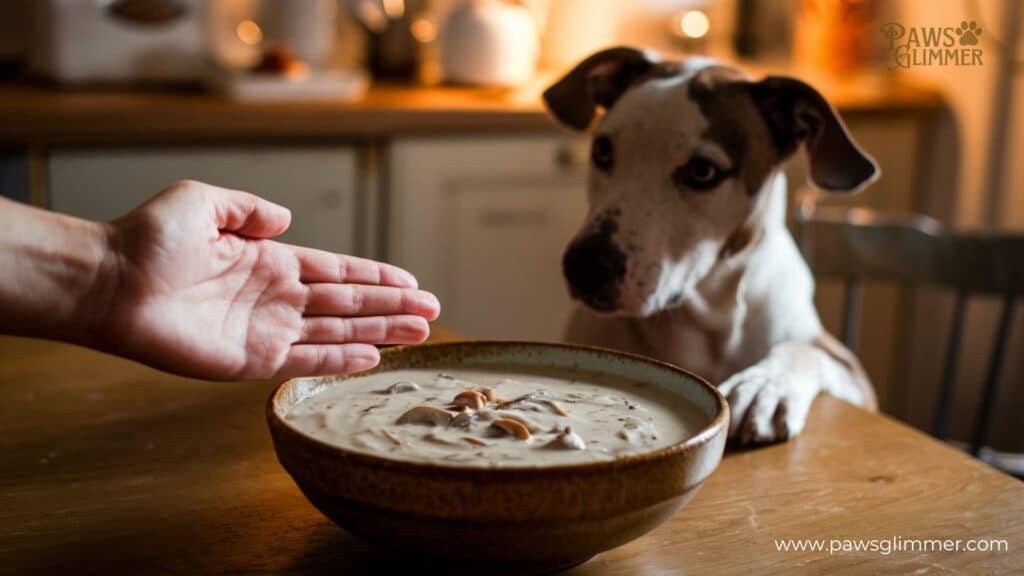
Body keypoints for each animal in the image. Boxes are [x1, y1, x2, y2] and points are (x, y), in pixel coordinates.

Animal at [544, 47, 880, 446]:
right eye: (602, 151)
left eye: (702, 172)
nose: (585, 265)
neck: (707, 317)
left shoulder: (852, 372)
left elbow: (803, 351)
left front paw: (765, 386)